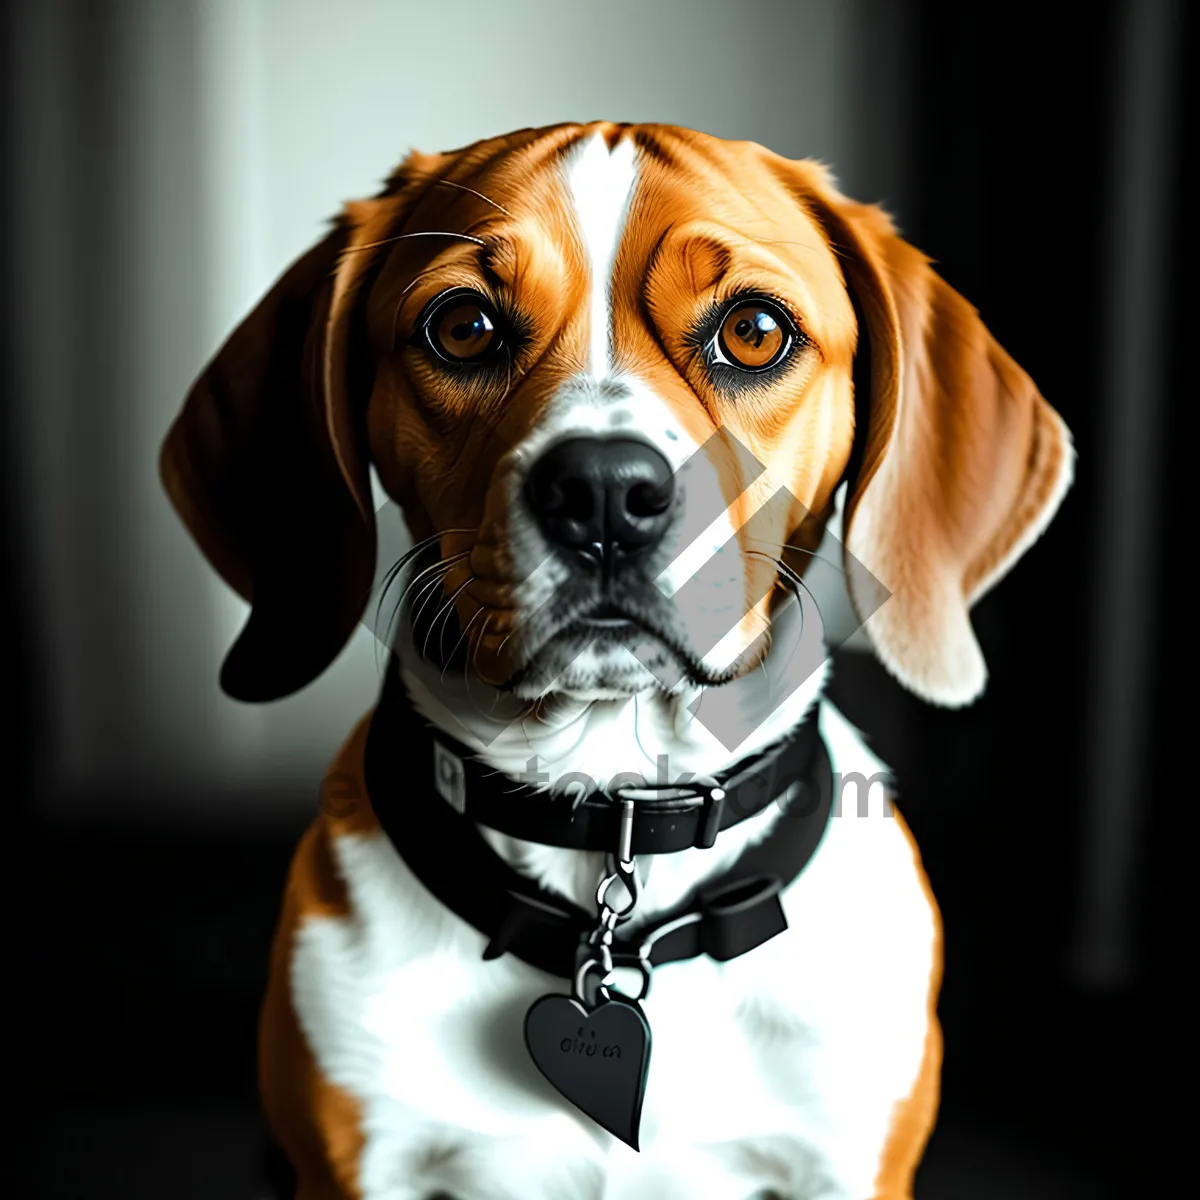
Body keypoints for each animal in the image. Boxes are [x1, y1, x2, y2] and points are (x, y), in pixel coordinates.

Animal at [157, 124, 1070, 1200]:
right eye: (461, 327)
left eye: (753, 331)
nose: (602, 492)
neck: (613, 810)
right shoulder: (355, 1169)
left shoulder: (848, 1167)